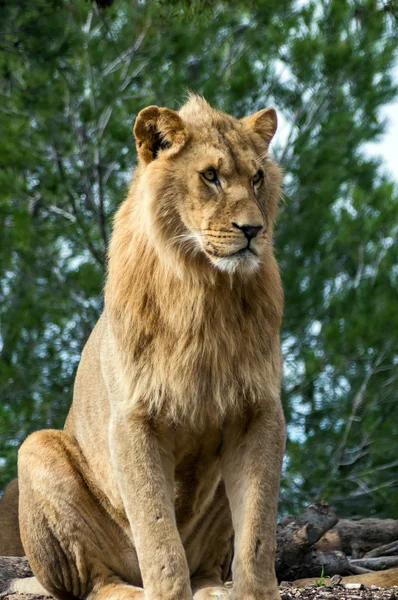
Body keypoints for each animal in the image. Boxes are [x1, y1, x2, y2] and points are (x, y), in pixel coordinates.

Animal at [14, 96, 286, 600]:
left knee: (207, 566)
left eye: (257, 177)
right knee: (96, 580)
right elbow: (157, 532)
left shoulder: (259, 411)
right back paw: (129, 591)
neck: (204, 289)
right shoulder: (134, 419)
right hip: (35, 449)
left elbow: (258, 532)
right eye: (210, 176)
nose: (253, 229)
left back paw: (214, 589)